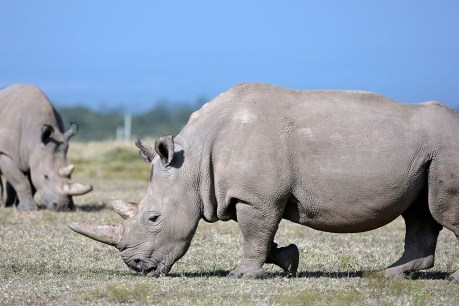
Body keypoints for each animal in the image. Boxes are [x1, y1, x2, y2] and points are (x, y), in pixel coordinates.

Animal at [70, 82, 458, 280]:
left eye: (153, 218)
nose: (137, 267)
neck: (191, 162)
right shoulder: (257, 196)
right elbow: (264, 235)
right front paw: (289, 261)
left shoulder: (256, 197)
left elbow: (254, 233)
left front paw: (241, 276)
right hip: (428, 156)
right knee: (421, 214)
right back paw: (387, 275)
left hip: (447, 148)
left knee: (441, 212)